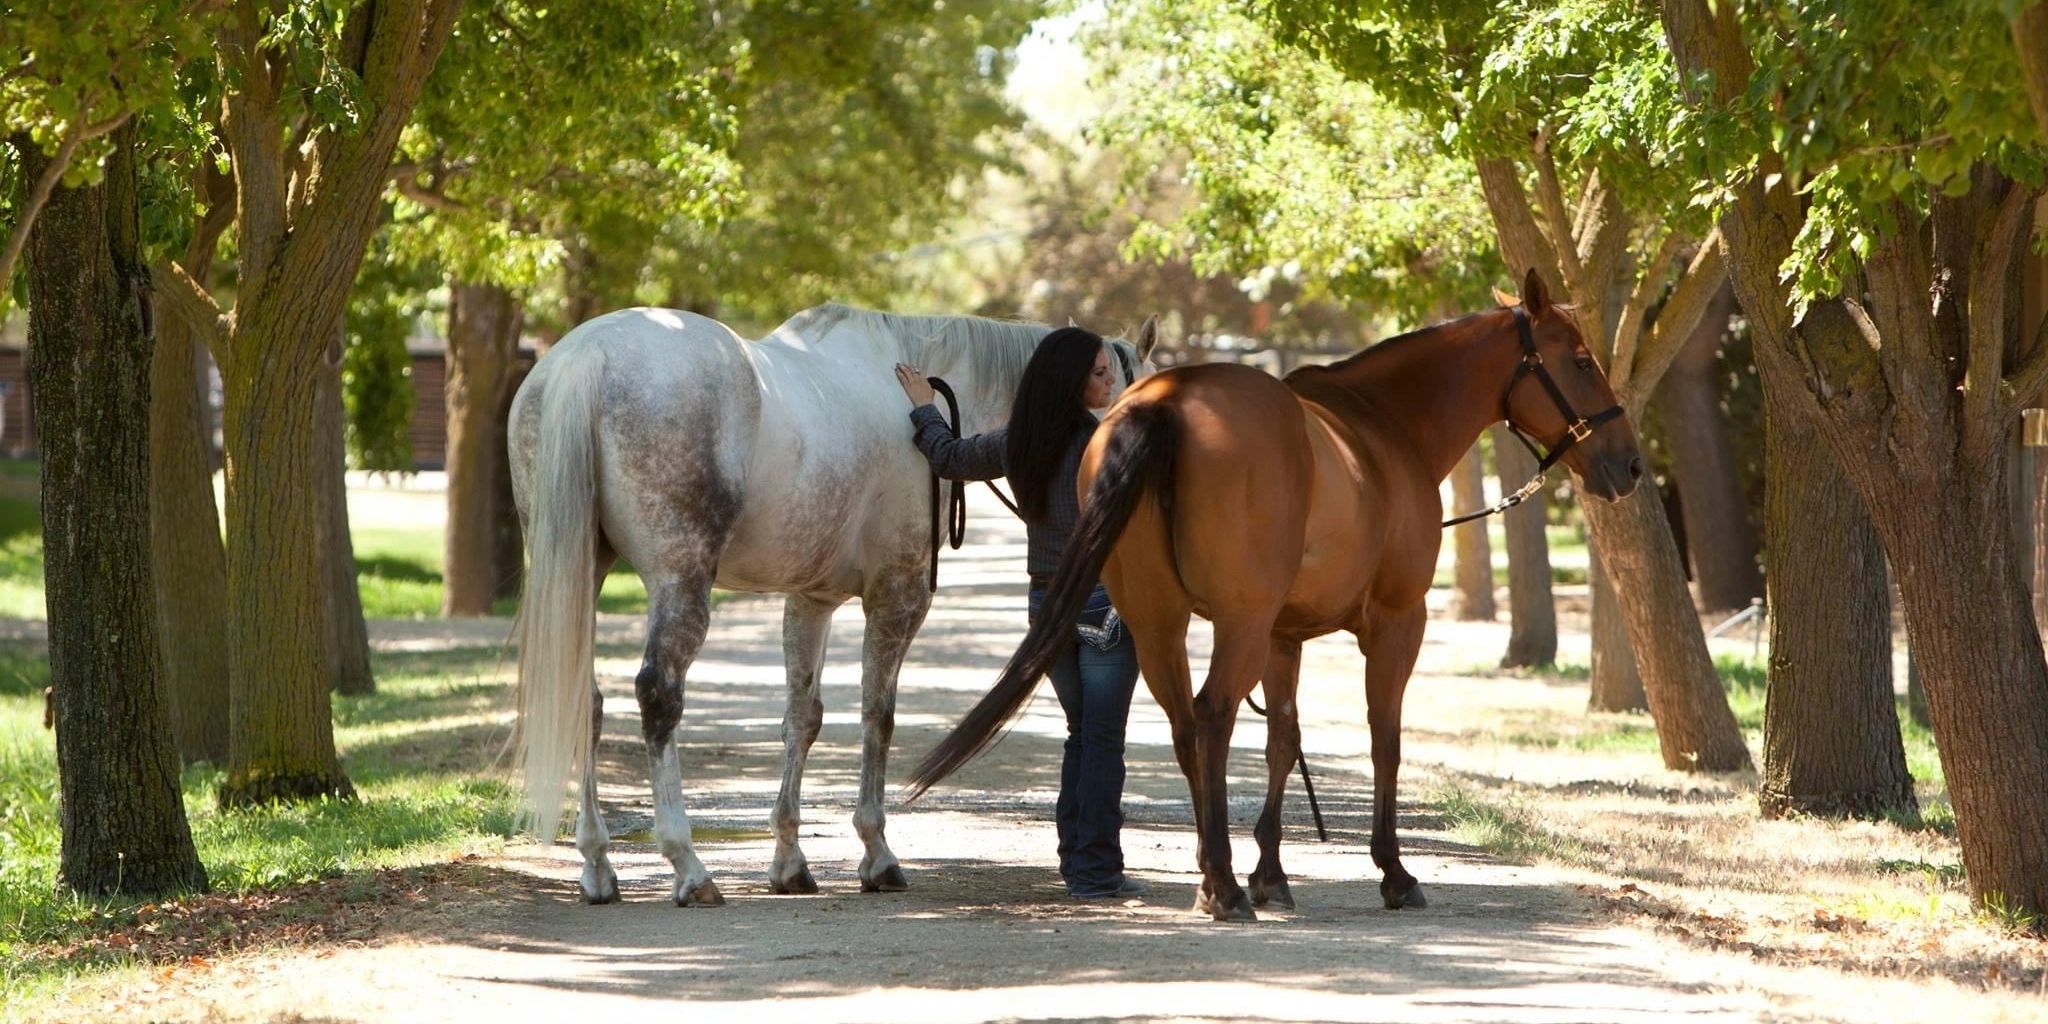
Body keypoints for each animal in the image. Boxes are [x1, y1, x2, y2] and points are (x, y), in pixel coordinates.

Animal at [509, 303, 1157, 907]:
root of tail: (588, 357)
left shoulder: (810, 600)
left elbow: (804, 718)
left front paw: (790, 863)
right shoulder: (898, 595)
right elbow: (879, 715)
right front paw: (878, 854)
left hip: (585, 569)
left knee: (584, 701)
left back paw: (598, 865)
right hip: (680, 579)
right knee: (658, 695)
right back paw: (689, 868)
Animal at [908, 270, 1643, 921]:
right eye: (1581, 361)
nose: (1632, 464)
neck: (1381, 428)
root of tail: (1164, 402)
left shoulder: (1283, 636)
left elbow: (1283, 741)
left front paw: (1271, 874)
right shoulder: (1396, 622)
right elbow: (1384, 738)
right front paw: (1393, 871)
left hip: (1159, 622)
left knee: (1185, 724)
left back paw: (1219, 876)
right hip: (1237, 621)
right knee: (1212, 716)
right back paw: (1221, 887)